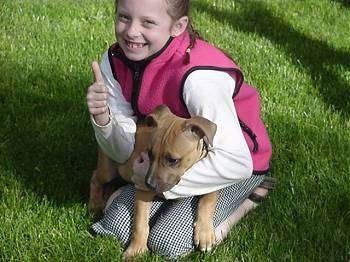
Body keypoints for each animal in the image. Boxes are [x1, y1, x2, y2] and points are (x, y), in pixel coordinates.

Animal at [89, 104, 217, 258]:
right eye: (149, 154)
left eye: (173, 160)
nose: (149, 183)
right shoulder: (143, 191)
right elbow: (140, 223)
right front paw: (136, 250)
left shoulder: (212, 179)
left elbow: (208, 199)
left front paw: (205, 233)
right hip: (108, 170)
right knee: (95, 177)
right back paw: (95, 203)